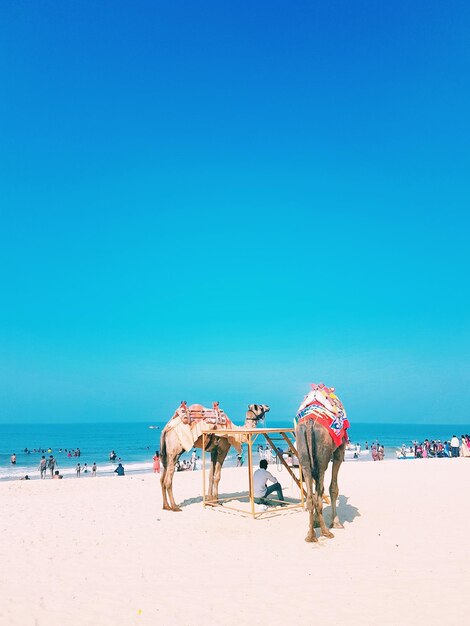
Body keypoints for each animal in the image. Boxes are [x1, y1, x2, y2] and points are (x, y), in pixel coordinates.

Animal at [294, 382, 348, 540]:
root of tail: (310, 423)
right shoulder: (340, 449)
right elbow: (333, 488)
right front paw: (336, 523)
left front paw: (317, 523)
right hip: (322, 459)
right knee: (319, 496)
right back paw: (325, 532)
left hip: (304, 456)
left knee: (311, 497)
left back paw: (310, 534)